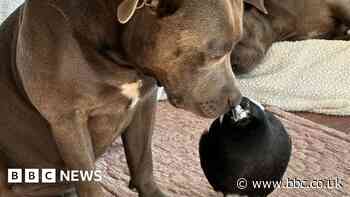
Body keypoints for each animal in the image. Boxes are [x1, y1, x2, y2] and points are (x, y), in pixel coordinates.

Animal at [0, 0, 270, 197]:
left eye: (235, 46)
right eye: (215, 53)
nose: (236, 99)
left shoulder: (144, 103)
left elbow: (143, 161)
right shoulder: (67, 121)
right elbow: (89, 182)